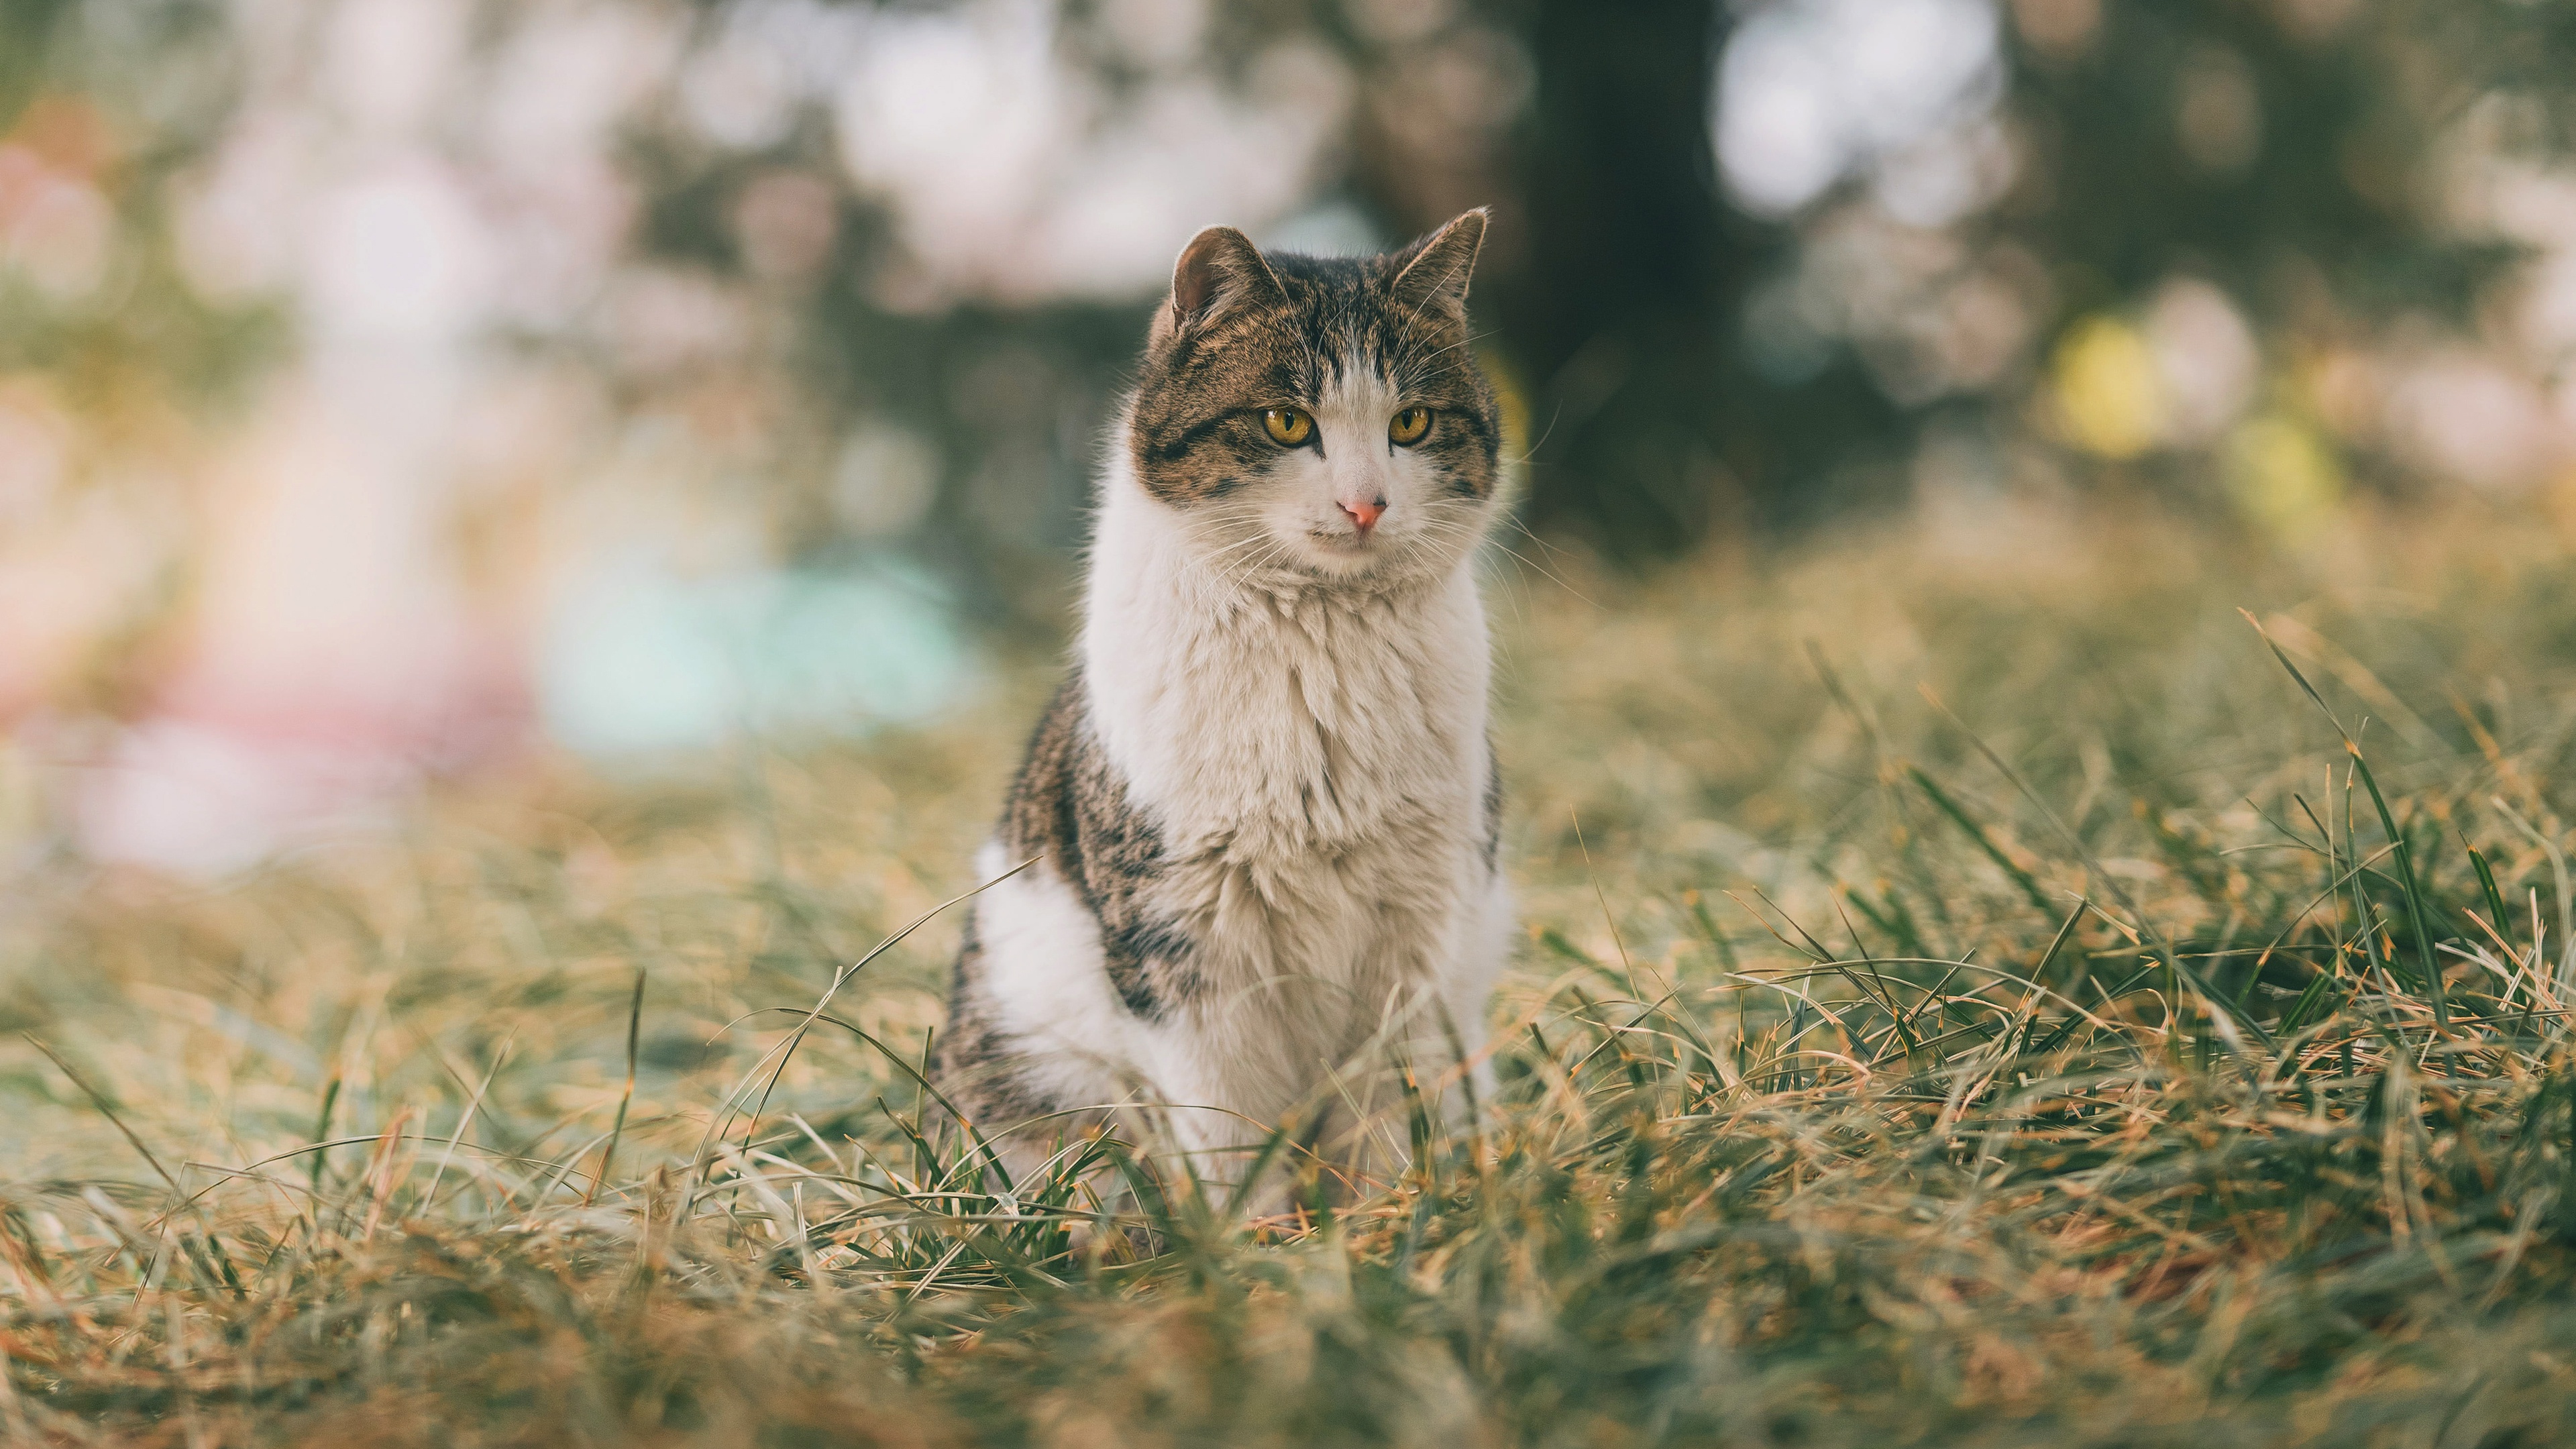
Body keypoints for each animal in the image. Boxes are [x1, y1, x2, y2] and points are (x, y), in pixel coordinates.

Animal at [937, 206, 1504, 1196]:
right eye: (1286, 422)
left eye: (1412, 421)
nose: (1366, 505)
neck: (1321, 650)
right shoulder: (1184, 942)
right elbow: (1231, 1132)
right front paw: (1267, 1234)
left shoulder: (1422, 930)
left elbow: (1386, 1112)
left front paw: (1395, 1218)